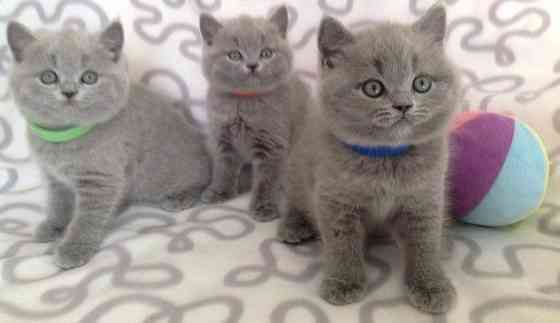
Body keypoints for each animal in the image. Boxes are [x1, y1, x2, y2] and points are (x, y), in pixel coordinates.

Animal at [8, 21, 210, 270]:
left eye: (89, 77)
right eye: (48, 77)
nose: (69, 91)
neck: (64, 138)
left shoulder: (101, 179)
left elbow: (87, 219)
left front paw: (72, 249)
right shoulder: (55, 178)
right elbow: (59, 203)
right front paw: (54, 226)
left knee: (200, 180)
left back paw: (180, 198)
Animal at [198, 5, 312, 223]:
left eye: (266, 53)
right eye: (234, 55)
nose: (252, 65)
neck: (244, 102)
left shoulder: (272, 143)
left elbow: (267, 179)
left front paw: (264, 208)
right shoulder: (222, 137)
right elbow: (223, 168)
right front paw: (219, 192)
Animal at [278, 5, 460, 314]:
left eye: (421, 83)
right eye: (373, 88)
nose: (403, 105)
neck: (386, 157)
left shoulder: (425, 197)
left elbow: (424, 242)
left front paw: (430, 285)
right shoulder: (333, 198)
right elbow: (341, 244)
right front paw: (344, 283)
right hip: (296, 169)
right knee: (295, 200)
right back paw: (293, 226)